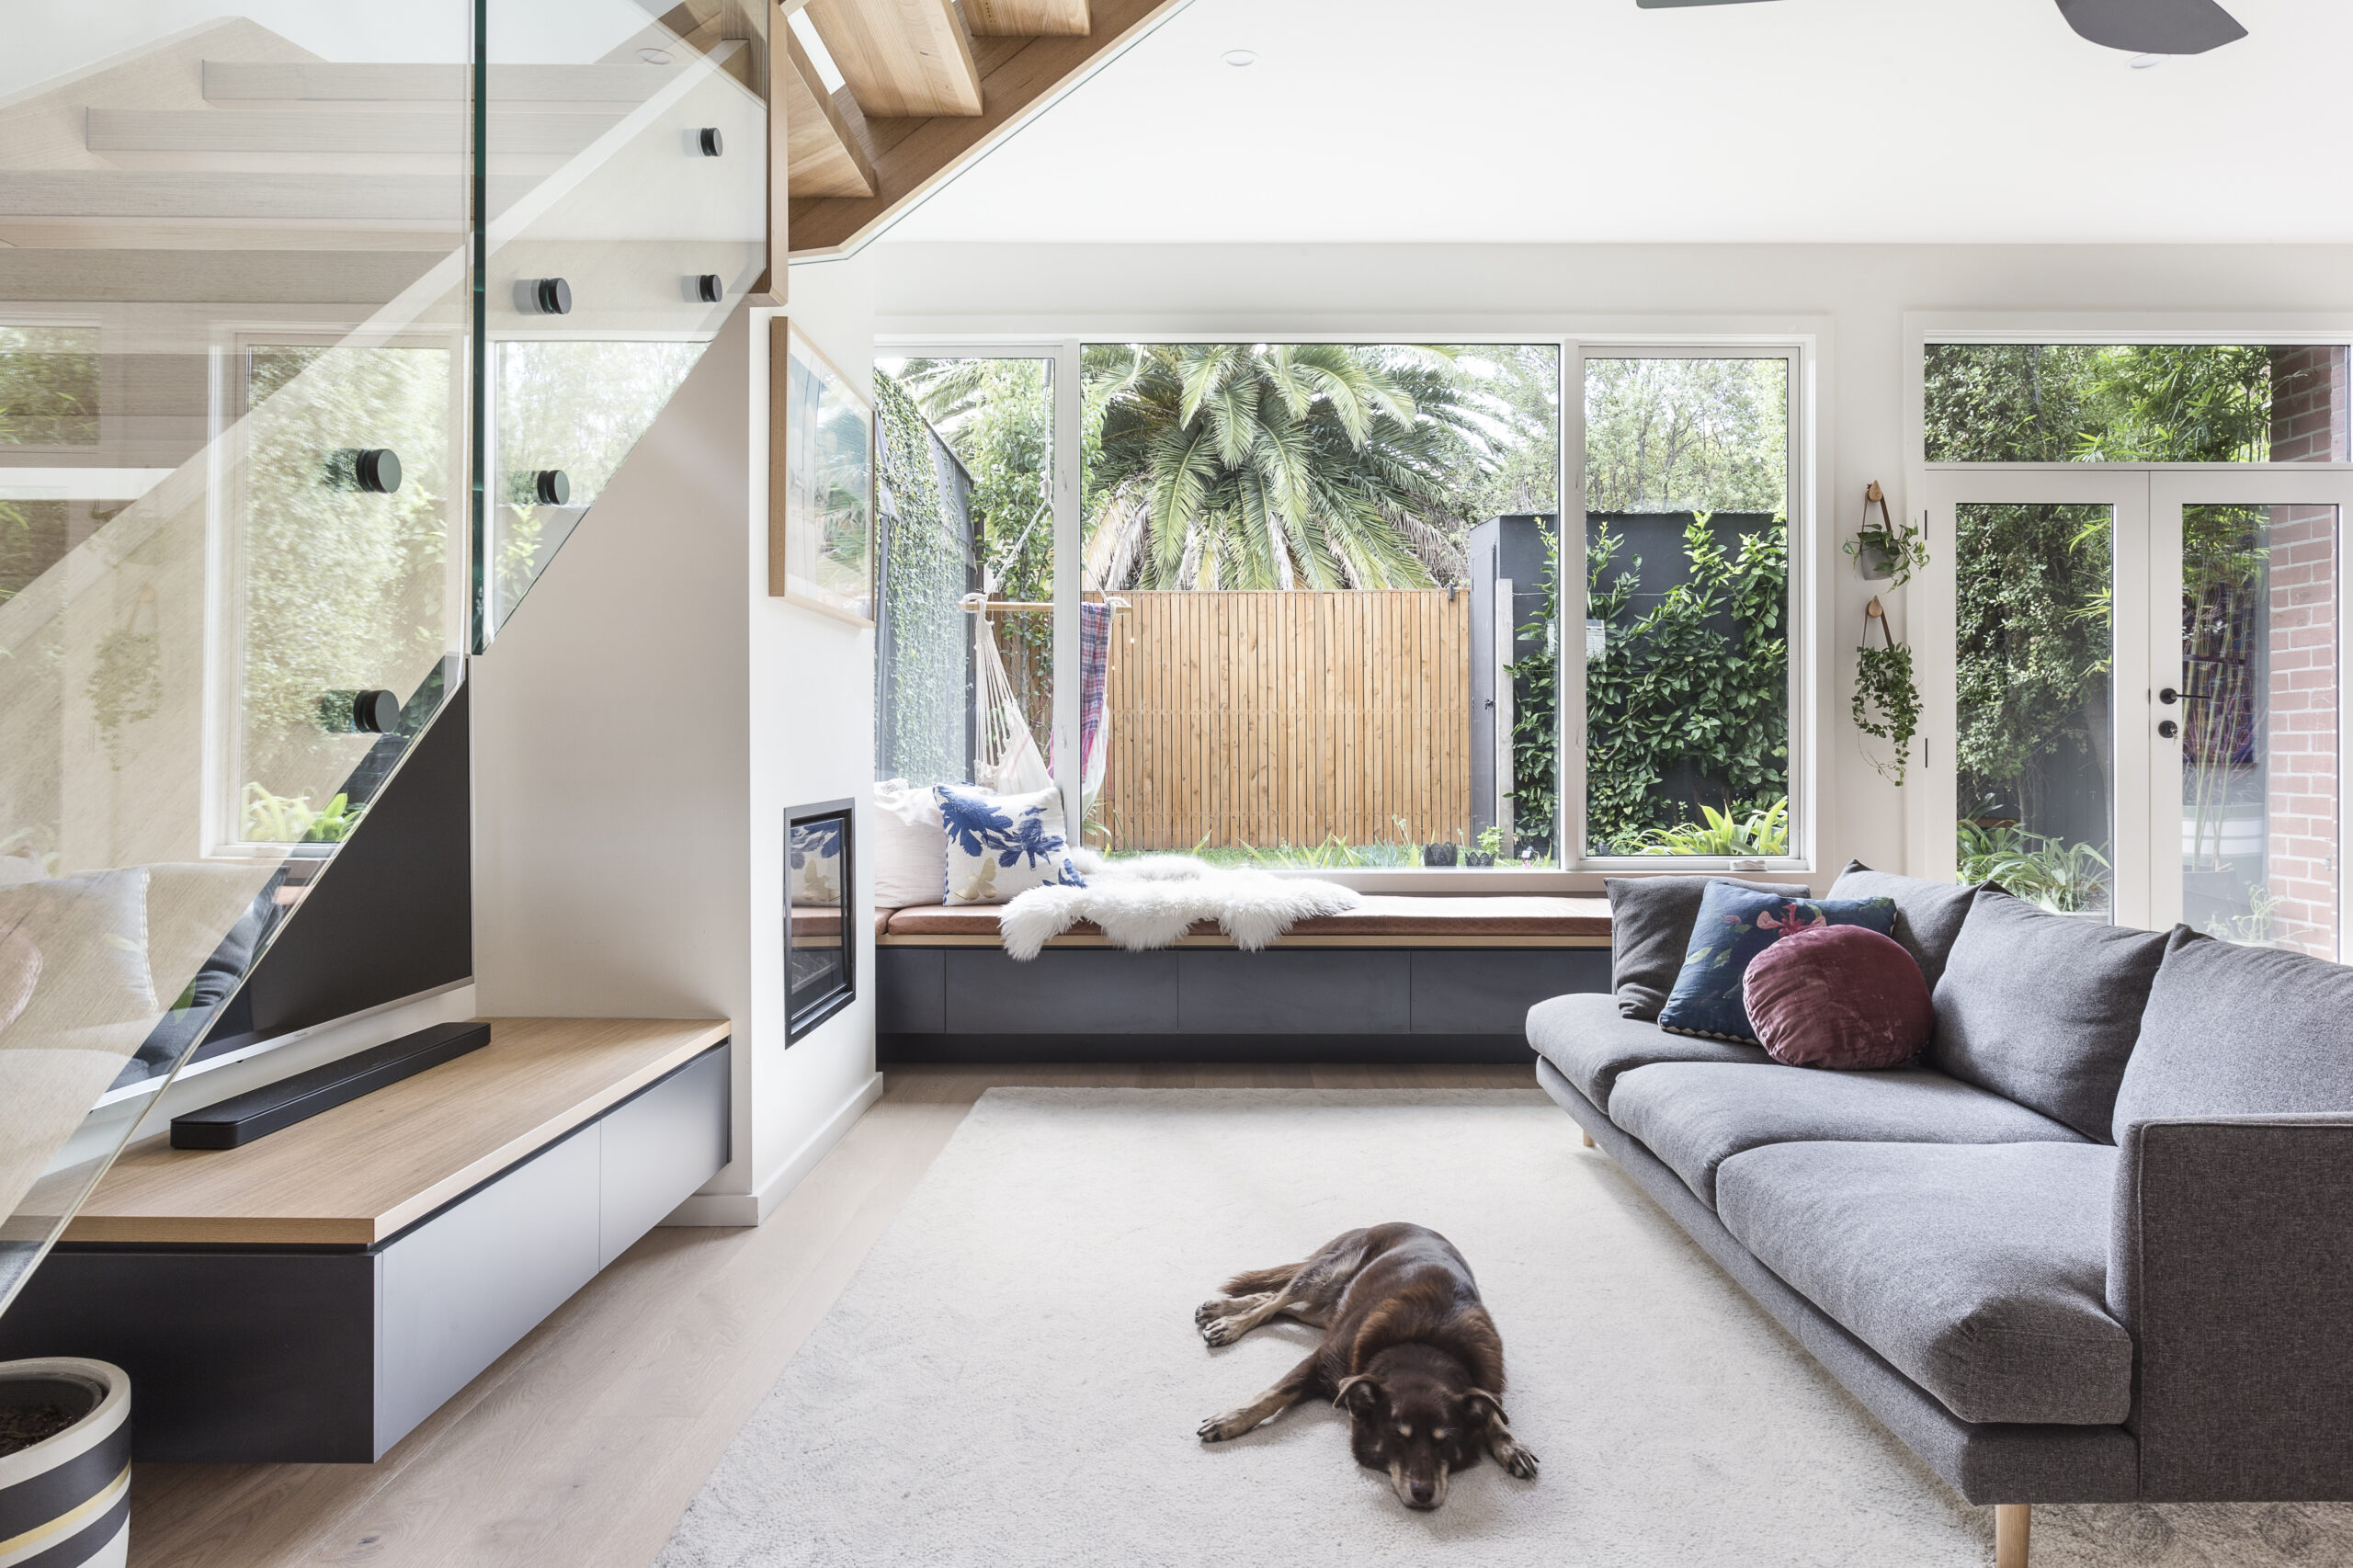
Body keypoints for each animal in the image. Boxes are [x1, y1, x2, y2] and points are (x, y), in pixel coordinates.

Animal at [1195, 1224, 1543, 1506]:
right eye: (1398, 1437)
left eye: (1445, 1441)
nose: (1423, 1494)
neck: (1425, 1348)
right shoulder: (1321, 1359)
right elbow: (1273, 1394)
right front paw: (1230, 1420)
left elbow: (1491, 1411)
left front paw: (1508, 1443)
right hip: (1323, 1275)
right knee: (1276, 1301)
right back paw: (1228, 1322)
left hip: (1326, 1310)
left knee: (1277, 1303)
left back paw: (1221, 1310)